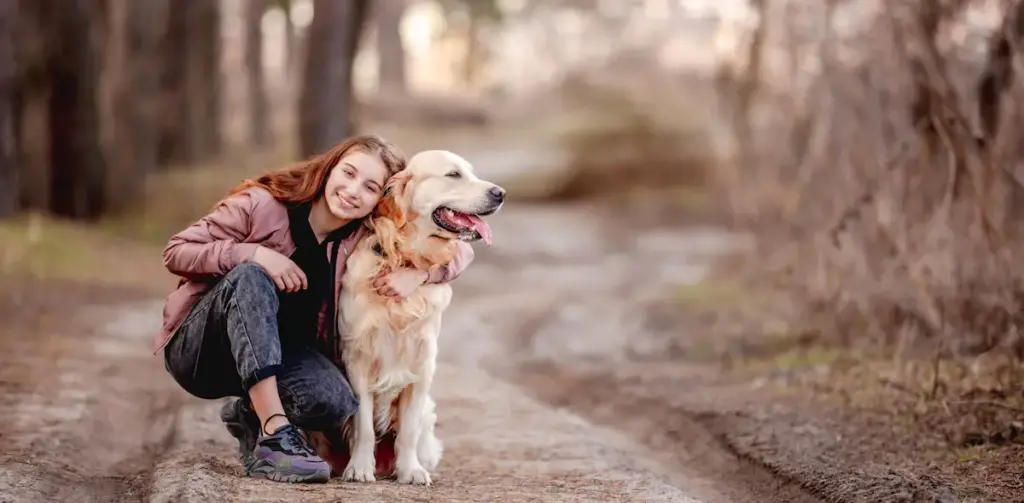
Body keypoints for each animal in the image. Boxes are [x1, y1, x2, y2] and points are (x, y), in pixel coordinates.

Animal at [311, 149, 503, 483]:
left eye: (471, 172)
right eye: (453, 174)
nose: (500, 193)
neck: (402, 258)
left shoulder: (422, 365)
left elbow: (408, 430)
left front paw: (410, 470)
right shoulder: (357, 359)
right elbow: (363, 425)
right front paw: (359, 468)